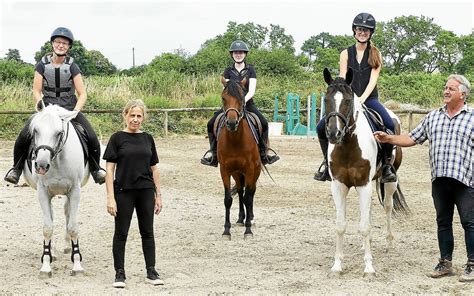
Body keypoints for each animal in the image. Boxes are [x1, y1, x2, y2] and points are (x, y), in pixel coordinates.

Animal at [22, 104, 89, 278]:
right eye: (35, 130)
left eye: (59, 133)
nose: (41, 165)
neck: (57, 161)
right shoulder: (43, 193)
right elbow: (47, 228)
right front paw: (46, 265)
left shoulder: (75, 191)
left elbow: (73, 227)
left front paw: (77, 265)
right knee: (51, 216)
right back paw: (52, 251)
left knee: (67, 213)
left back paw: (67, 247)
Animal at [218, 77, 262, 240]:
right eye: (223, 98)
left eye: (241, 98)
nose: (231, 123)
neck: (236, 140)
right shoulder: (225, 170)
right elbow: (228, 200)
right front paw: (226, 230)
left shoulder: (250, 170)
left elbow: (249, 198)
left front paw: (248, 230)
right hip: (237, 173)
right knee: (240, 190)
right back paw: (240, 218)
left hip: (255, 171)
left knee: (251, 192)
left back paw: (250, 218)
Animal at [324, 67, 410, 276]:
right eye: (326, 100)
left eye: (348, 100)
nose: (334, 134)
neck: (348, 145)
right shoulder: (339, 186)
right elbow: (340, 225)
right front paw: (337, 265)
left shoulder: (363, 184)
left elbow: (365, 227)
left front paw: (369, 267)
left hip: (390, 182)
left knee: (387, 207)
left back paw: (389, 243)